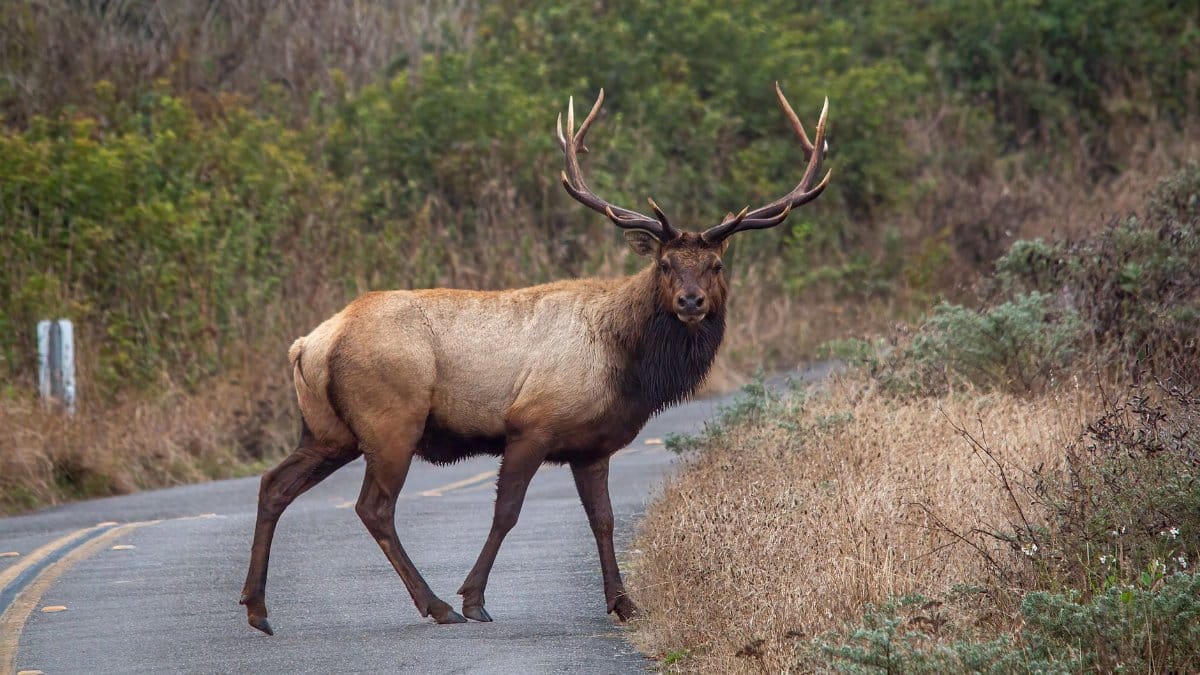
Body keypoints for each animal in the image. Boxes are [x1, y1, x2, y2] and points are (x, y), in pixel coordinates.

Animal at [239, 83, 830, 634]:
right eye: (665, 263)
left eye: (715, 265)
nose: (691, 301)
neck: (628, 367)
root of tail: (310, 343)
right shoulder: (532, 423)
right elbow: (507, 512)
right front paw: (474, 599)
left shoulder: (592, 446)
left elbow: (604, 520)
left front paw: (625, 603)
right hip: (391, 419)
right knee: (373, 507)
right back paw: (436, 605)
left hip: (327, 430)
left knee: (273, 485)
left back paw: (257, 609)